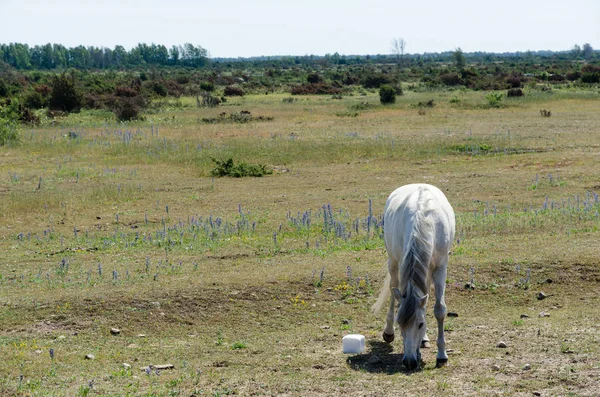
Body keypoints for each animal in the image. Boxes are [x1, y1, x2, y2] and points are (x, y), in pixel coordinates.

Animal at [370, 184, 454, 370]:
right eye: (400, 323)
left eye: (421, 324)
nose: (409, 362)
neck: (423, 221)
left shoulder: (440, 267)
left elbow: (439, 309)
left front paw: (441, 356)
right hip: (393, 262)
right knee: (393, 292)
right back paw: (388, 332)